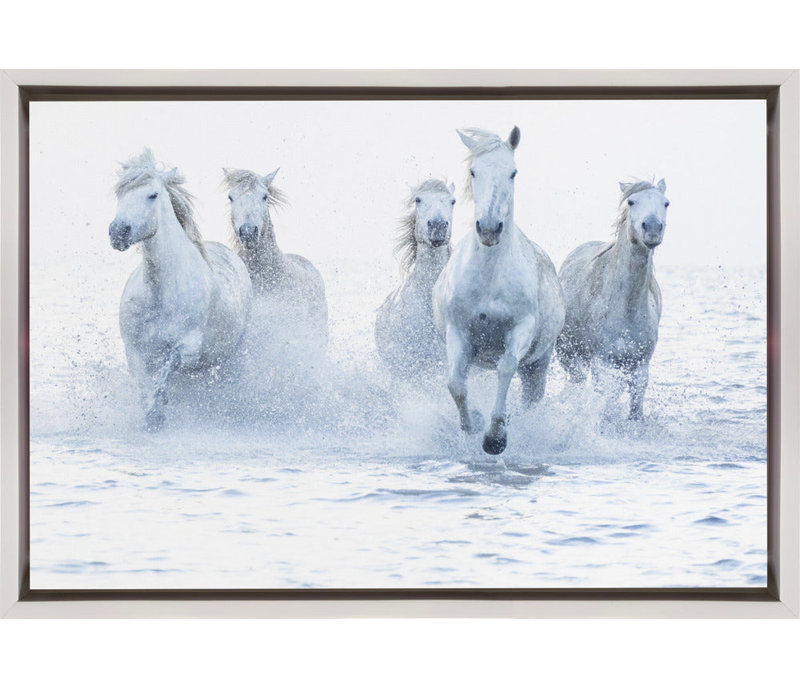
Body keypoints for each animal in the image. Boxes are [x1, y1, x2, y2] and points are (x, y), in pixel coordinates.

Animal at [108, 150, 253, 431]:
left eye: (152, 194)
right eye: (120, 193)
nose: (118, 232)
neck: (160, 292)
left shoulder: (190, 348)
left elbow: (169, 364)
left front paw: (158, 410)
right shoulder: (134, 350)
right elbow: (144, 383)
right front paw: (152, 413)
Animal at [433, 127, 565, 455]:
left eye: (513, 173)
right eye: (473, 171)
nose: (490, 228)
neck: (489, 277)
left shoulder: (521, 328)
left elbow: (506, 367)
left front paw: (495, 437)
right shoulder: (458, 332)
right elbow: (455, 383)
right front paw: (472, 424)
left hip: (538, 365)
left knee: (531, 398)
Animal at [556, 179, 669, 420]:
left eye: (666, 203)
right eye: (631, 201)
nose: (652, 228)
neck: (627, 307)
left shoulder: (640, 367)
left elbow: (634, 407)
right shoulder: (602, 364)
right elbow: (605, 401)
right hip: (570, 357)